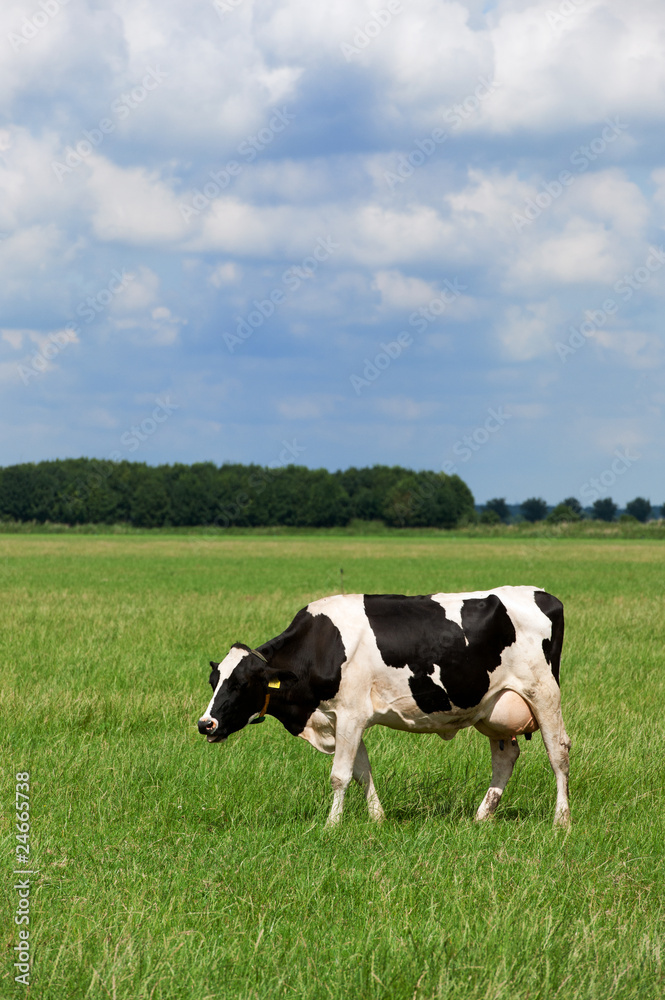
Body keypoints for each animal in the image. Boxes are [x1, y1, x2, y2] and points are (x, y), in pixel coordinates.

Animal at [197, 586, 571, 828]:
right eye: (214, 681)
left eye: (240, 684)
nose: (205, 724)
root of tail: (544, 595)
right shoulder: (345, 719)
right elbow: (362, 771)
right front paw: (378, 818)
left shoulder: (350, 714)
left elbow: (340, 775)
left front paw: (332, 825)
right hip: (495, 708)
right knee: (506, 758)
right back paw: (482, 816)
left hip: (544, 694)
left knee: (558, 753)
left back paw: (561, 820)